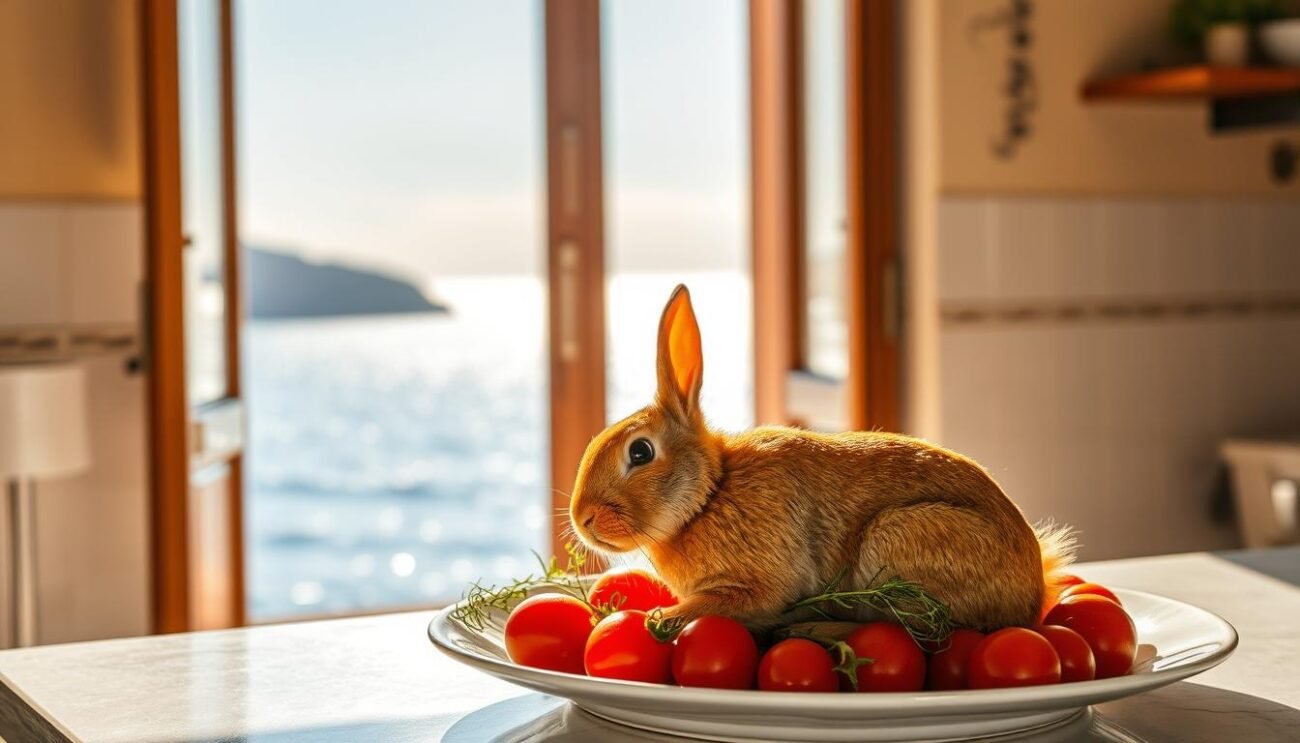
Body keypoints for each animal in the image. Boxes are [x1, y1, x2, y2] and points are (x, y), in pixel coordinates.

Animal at [569, 284, 1074, 632]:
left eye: (640, 451)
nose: (582, 519)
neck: (710, 495)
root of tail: (1034, 589)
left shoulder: (758, 585)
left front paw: (657, 617)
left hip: (894, 540)